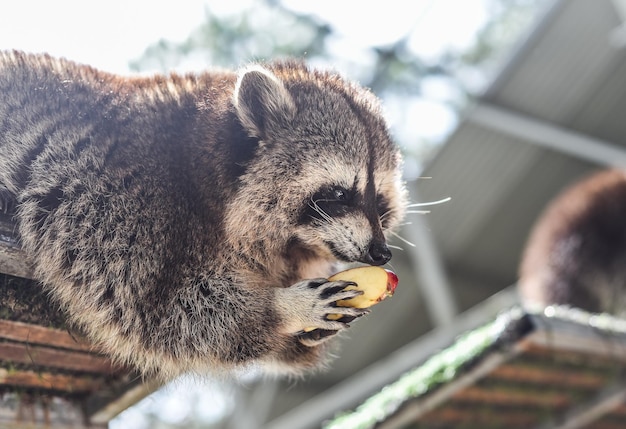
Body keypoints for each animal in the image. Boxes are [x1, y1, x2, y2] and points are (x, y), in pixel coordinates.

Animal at [0, 51, 404, 378]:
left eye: (380, 202)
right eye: (339, 193)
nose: (381, 252)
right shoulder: (123, 196)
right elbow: (158, 309)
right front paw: (280, 308)